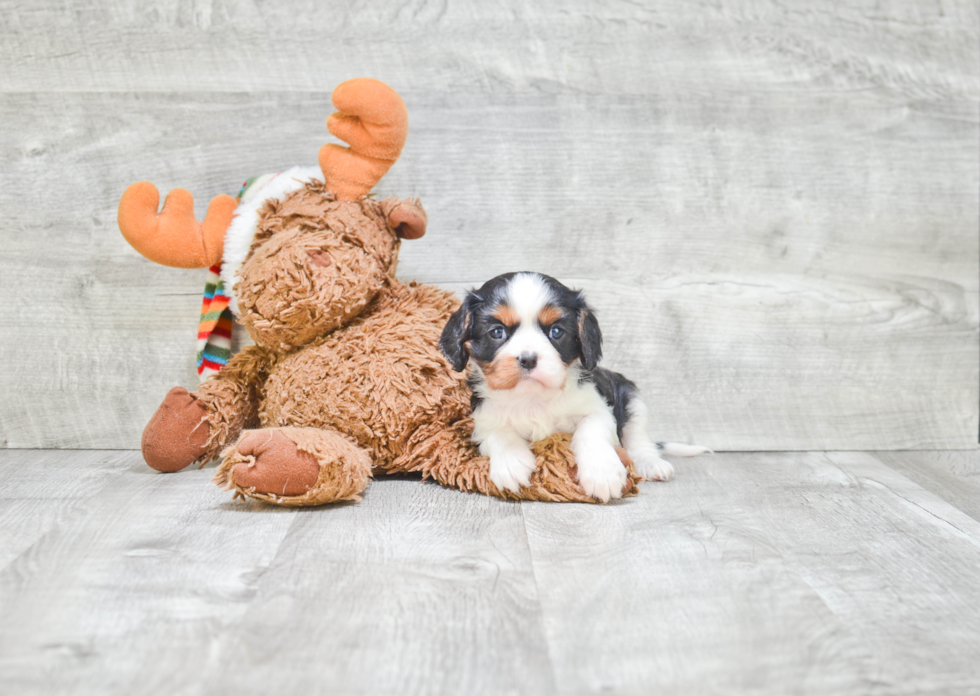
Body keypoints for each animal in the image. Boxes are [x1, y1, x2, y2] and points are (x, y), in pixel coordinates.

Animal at [438, 272, 704, 500]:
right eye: (497, 332)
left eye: (556, 332)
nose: (528, 359)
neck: (533, 397)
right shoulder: (483, 420)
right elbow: (499, 434)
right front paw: (511, 463)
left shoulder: (599, 408)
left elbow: (591, 430)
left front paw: (602, 472)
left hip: (631, 397)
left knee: (639, 440)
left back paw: (651, 463)